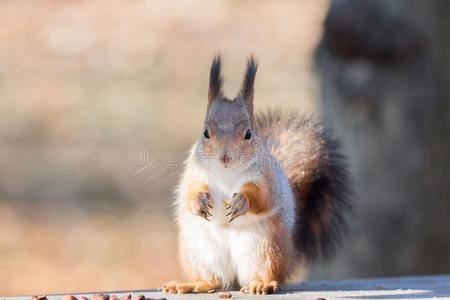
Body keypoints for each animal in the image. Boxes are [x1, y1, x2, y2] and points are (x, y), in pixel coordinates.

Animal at [162, 55, 352, 296]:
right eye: (205, 132)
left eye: (248, 134)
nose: (225, 157)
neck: (226, 173)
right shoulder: (195, 172)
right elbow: (189, 190)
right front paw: (199, 201)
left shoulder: (267, 177)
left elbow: (263, 196)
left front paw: (242, 201)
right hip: (199, 250)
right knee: (215, 279)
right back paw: (195, 283)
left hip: (265, 247)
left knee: (268, 273)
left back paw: (262, 283)